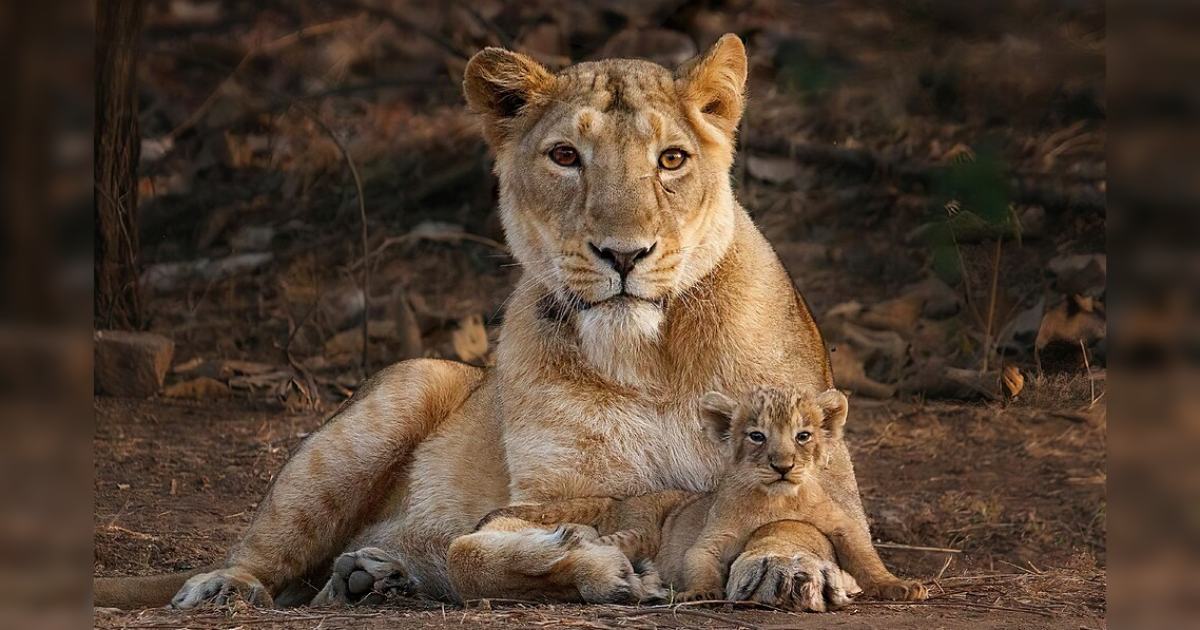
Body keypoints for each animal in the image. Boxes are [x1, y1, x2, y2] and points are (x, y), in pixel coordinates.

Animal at [94, 34, 870, 612]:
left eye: (672, 159)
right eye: (565, 157)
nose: (624, 254)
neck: (648, 358)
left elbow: (797, 512)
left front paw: (786, 567)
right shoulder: (549, 498)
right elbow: (472, 556)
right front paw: (591, 563)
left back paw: (373, 576)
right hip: (400, 391)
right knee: (270, 551)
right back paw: (240, 587)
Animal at [457, 387, 926, 604]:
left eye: (803, 435)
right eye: (756, 436)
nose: (782, 465)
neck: (777, 499)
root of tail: (621, 498)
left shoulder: (840, 525)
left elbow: (865, 556)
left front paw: (898, 586)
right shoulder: (711, 538)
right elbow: (699, 559)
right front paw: (699, 593)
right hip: (639, 528)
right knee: (601, 543)